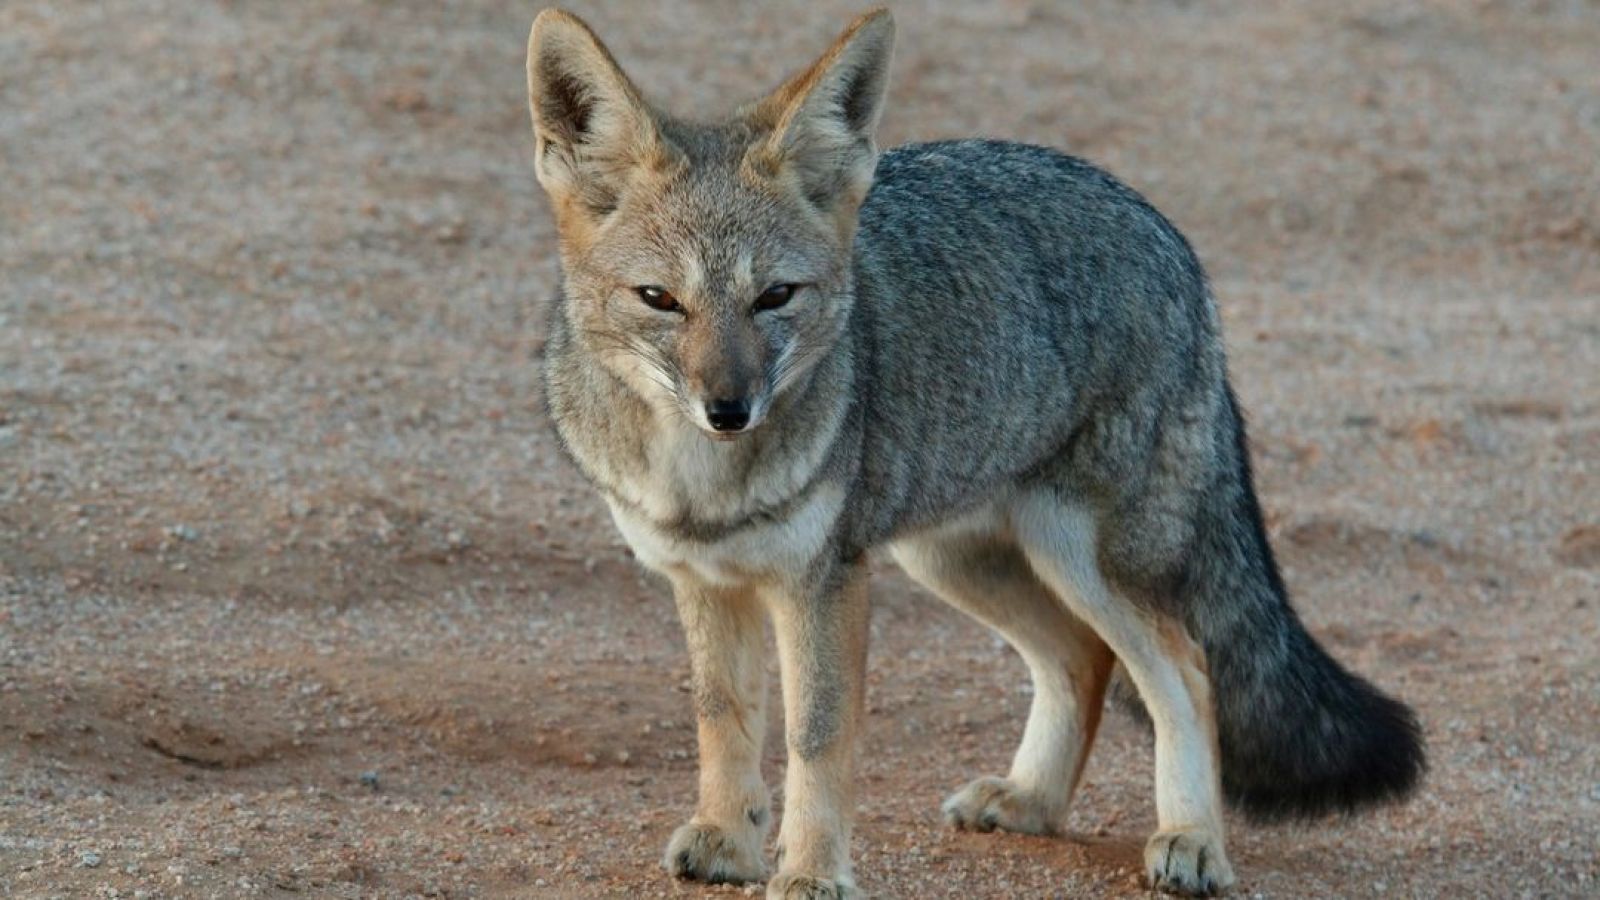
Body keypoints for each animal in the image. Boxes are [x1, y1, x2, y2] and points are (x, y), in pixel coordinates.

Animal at [523, 7, 1424, 898]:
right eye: (659, 300)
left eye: (775, 297)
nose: (729, 410)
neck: (704, 486)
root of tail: (1168, 234)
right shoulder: (703, 579)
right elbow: (724, 719)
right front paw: (727, 838)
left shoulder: (823, 579)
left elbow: (816, 737)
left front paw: (810, 870)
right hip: (954, 559)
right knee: (1081, 660)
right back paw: (1032, 800)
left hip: (1082, 561)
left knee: (1187, 668)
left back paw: (1193, 840)